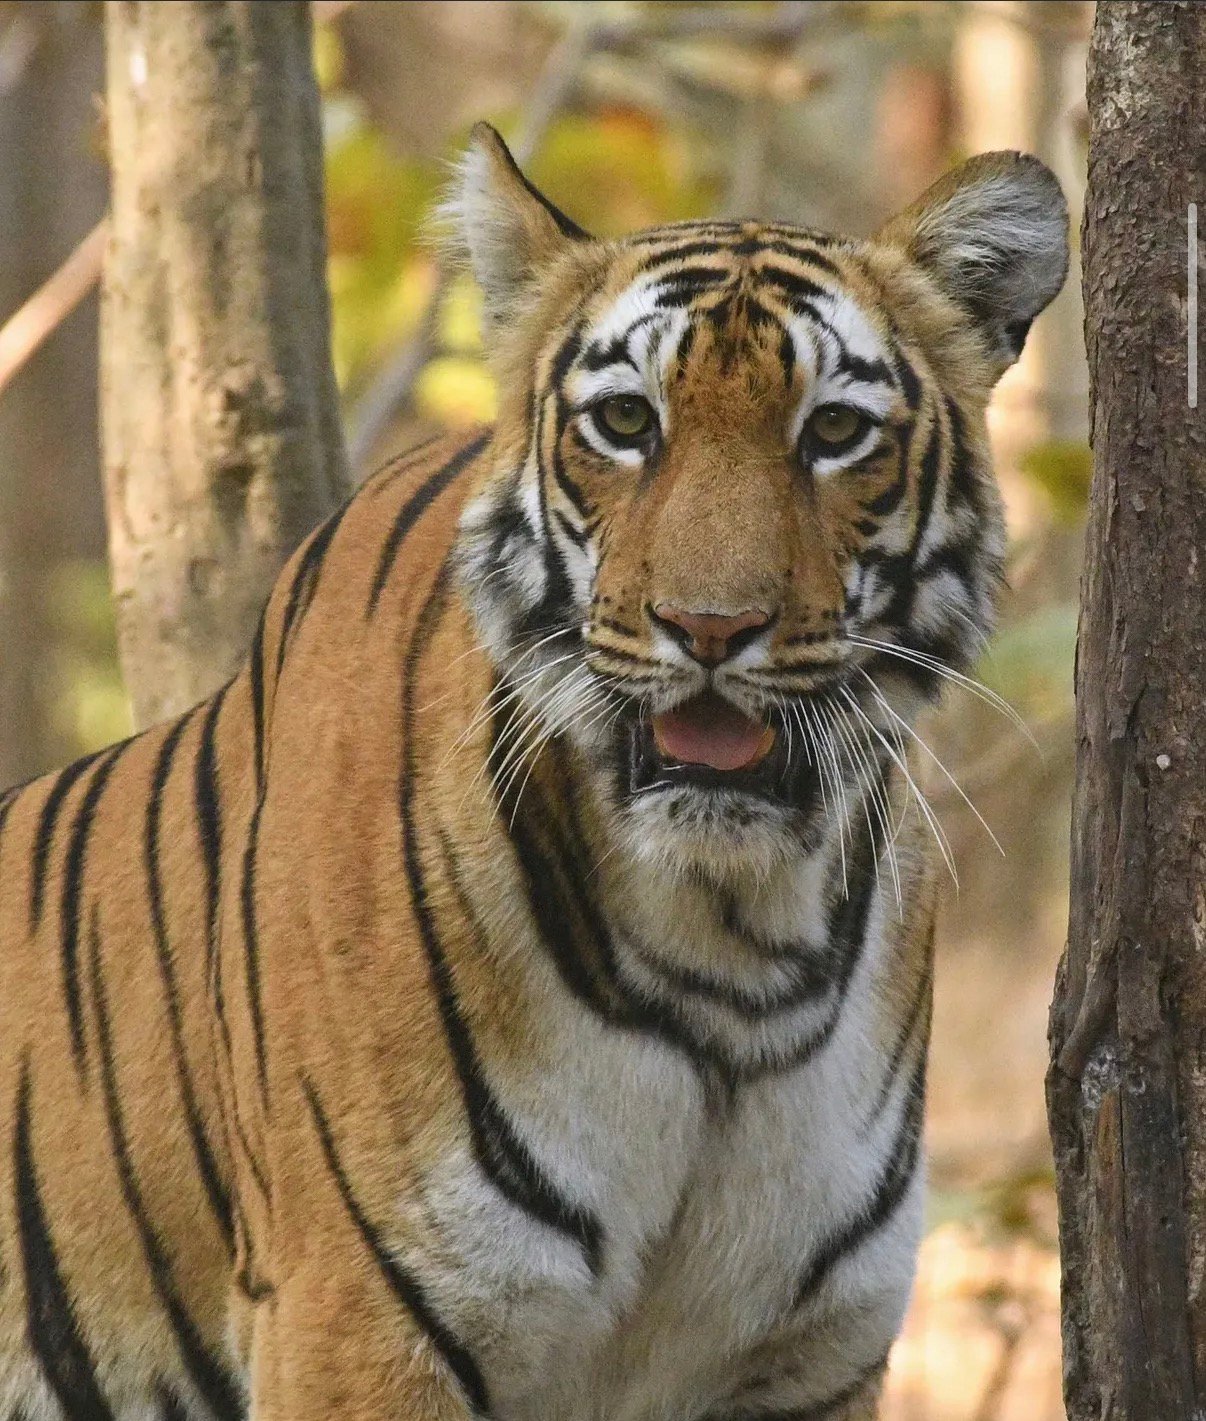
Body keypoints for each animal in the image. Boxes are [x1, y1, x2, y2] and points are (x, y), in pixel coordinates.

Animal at [0, 122, 1067, 1421]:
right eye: (626, 422)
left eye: (833, 433)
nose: (710, 627)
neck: (737, 944)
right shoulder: (363, 1316)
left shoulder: (809, 1352)